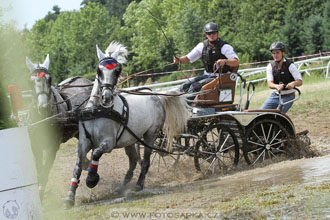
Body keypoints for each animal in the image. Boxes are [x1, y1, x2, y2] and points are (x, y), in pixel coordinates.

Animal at [25, 54, 93, 199]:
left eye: (49, 79)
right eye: (30, 82)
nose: (43, 107)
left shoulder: (53, 146)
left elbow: (45, 170)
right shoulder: (35, 146)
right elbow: (39, 168)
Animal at [63, 41, 191, 208]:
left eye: (117, 70)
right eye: (99, 70)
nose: (106, 97)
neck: (98, 110)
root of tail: (157, 96)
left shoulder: (109, 143)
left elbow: (96, 153)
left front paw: (91, 179)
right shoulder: (83, 142)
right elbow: (78, 166)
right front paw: (70, 197)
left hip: (150, 135)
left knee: (145, 161)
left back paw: (139, 184)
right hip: (130, 139)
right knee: (133, 161)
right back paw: (121, 187)